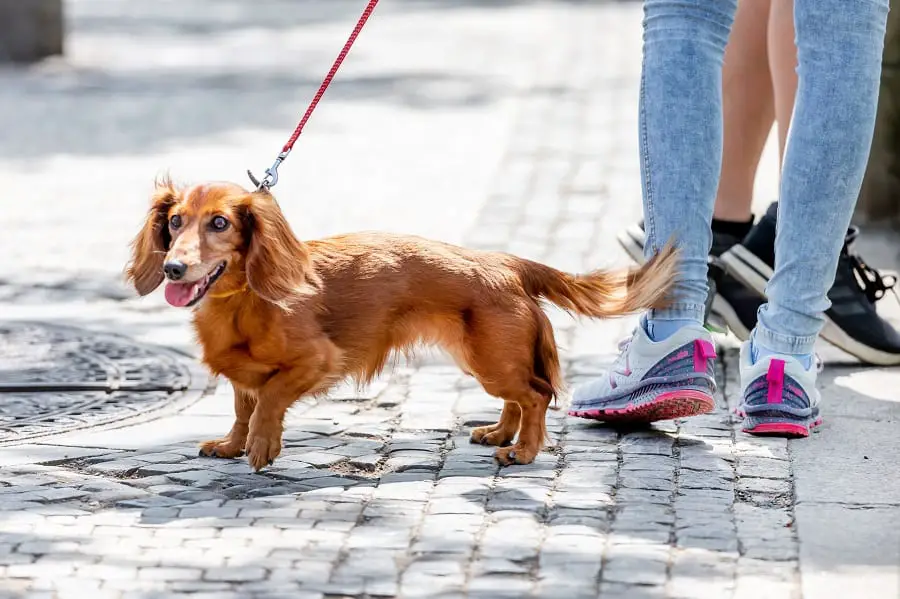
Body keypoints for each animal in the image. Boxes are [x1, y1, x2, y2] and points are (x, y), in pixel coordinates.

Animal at [126, 180, 676, 472]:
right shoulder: (244, 374)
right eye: (175, 221)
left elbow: (270, 401)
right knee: (518, 398)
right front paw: (232, 444)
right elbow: (244, 408)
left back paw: (522, 451)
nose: (173, 268)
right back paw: (500, 434)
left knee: (536, 395)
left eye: (219, 223)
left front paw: (262, 445)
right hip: (486, 360)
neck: (244, 299)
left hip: (491, 360)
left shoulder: (319, 361)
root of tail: (506, 263)